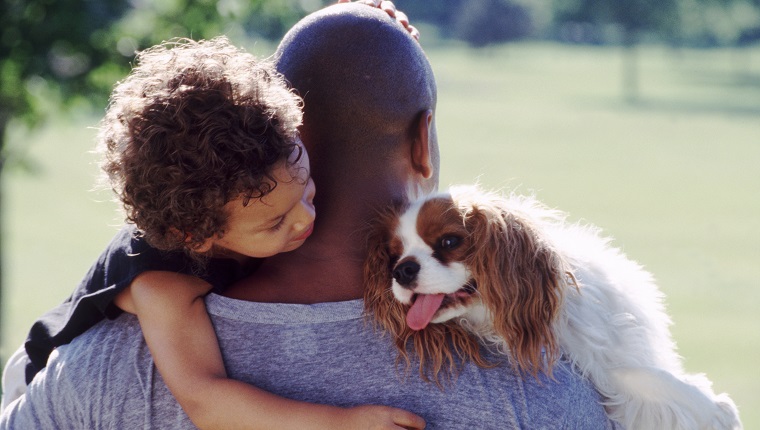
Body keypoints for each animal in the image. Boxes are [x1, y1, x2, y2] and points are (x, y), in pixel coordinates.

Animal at [364, 186, 744, 430]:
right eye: (394, 254)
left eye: (449, 241)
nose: (402, 270)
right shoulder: (588, 364)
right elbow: (634, 374)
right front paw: (717, 410)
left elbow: (649, 371)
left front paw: (711, 406)